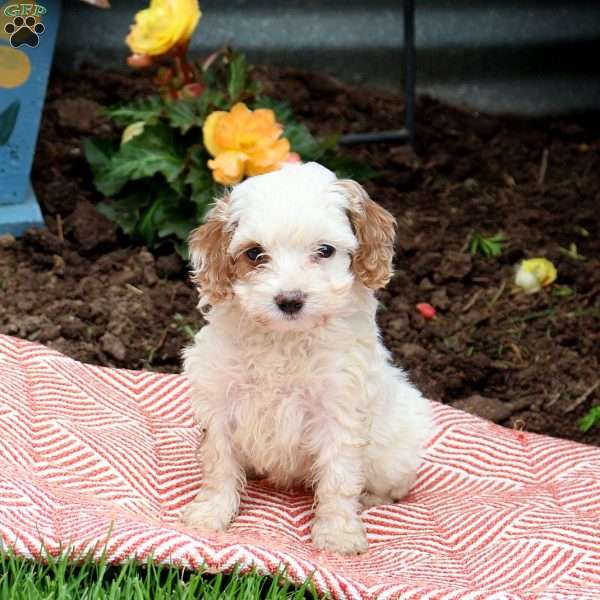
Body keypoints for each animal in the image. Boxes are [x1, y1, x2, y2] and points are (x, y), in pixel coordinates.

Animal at [182, 162, 432, 556]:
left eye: (325, 250)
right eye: (254, 254)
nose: (290, 300)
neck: (284, 338)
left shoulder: (340, 408)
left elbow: (339, 476)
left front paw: (338, 534)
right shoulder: (218, 396)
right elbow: (218, 460)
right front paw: (210, 512)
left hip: (398, 448)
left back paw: (371, 499)